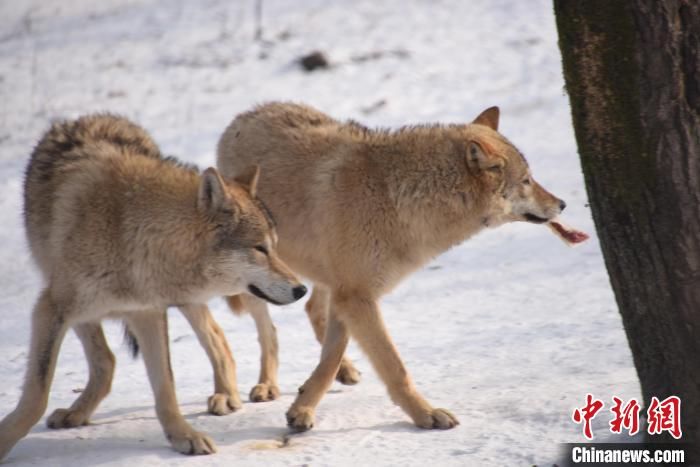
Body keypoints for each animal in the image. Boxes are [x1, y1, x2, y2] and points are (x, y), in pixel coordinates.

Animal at [0, 114, 306, 460]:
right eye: (260, 248)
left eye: (275, 247)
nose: (301, 289)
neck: (128, 234)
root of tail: (85, 117)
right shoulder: (50, 309)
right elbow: (36, 396)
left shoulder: (148, 313)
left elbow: (166, 387)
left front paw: (184, 436)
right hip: (76, 304)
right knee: (106, 362)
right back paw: (77, 413)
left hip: (185, 301)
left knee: (217, 338)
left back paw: (227, 395)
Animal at [216, 102, 568, 432]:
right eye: (527, 181)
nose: (562, 204)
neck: (399, 196)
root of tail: (245, 115)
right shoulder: (357, 297)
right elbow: (394, 367)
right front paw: (426, 415)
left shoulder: (350, 294)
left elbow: (330, 358)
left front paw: (302, 409)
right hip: (256, 279)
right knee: (268, 331)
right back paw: (265, 385)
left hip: (320, 279)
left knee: (314, 311)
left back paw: (345, 370)